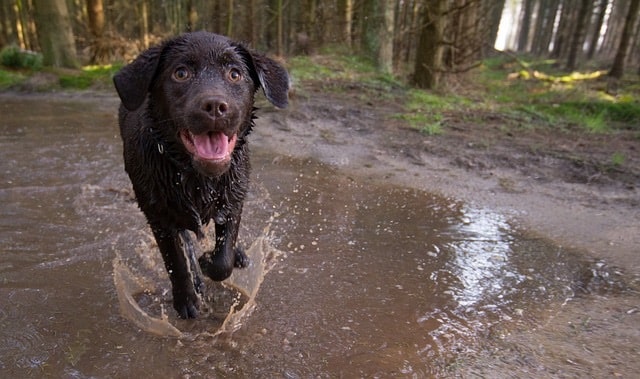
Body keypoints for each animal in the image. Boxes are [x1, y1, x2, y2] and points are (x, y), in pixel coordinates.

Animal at [112, 31, 288, 320]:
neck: (196, 177)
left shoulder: (233, 200)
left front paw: (214, 260)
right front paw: (187, 299)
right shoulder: (158, 216)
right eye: (181, 73)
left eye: (235, 74)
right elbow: (176, 261)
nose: (215, 106)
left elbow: (223, 258)